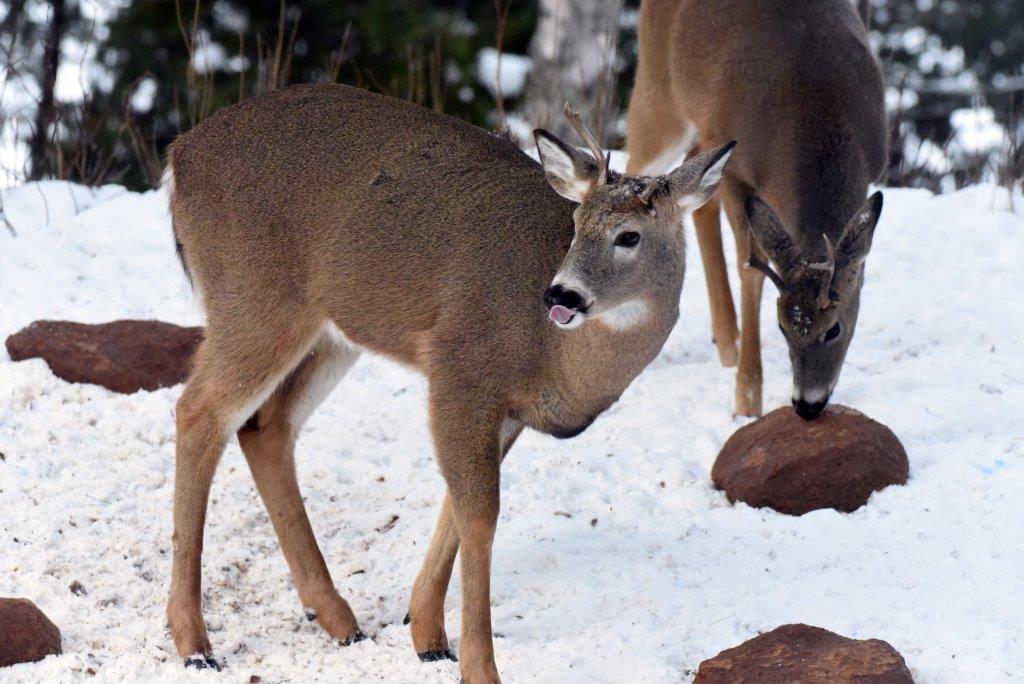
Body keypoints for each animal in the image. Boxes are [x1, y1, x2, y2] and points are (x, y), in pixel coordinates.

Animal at [163, 82, 734, 683]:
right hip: (254, 298)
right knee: (199, 412)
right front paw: (479, 666)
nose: (560, 294)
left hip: (334, 332)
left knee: (267, 428)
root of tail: (179, 155)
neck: (560, 363)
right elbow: (480, 515)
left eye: (629, 236)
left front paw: (428, 637)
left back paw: (339, 620)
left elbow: (455, 508)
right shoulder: (460, 365)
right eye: (576, 224)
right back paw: (195, 642)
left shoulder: (506, 410)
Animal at [626, 0, 888, 419]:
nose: (806, 405)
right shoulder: (737, 171)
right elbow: (750, 269)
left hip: (701, 131)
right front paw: (747, 398)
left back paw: (727, 341)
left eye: (834, 328)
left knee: (694, 202)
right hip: (656, 92)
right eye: (780, 326)